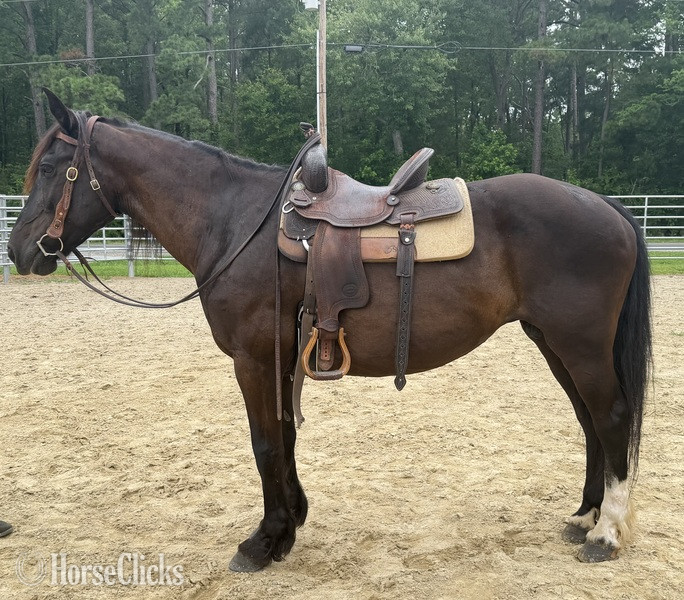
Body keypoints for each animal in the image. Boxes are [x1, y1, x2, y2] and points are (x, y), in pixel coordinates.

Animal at [8, 91, 652, 572]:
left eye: (50, 168)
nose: (19, 251)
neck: (236, 222)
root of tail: (608, 207)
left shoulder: (253, 359)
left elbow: (265, 442)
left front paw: (263, 541)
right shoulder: (280, 359)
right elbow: (286, 437)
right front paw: (291, 521)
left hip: (579, 345)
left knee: (611, 417)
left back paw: (606, 534)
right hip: (553, 343)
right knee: (590, 421)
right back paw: (585, 517)